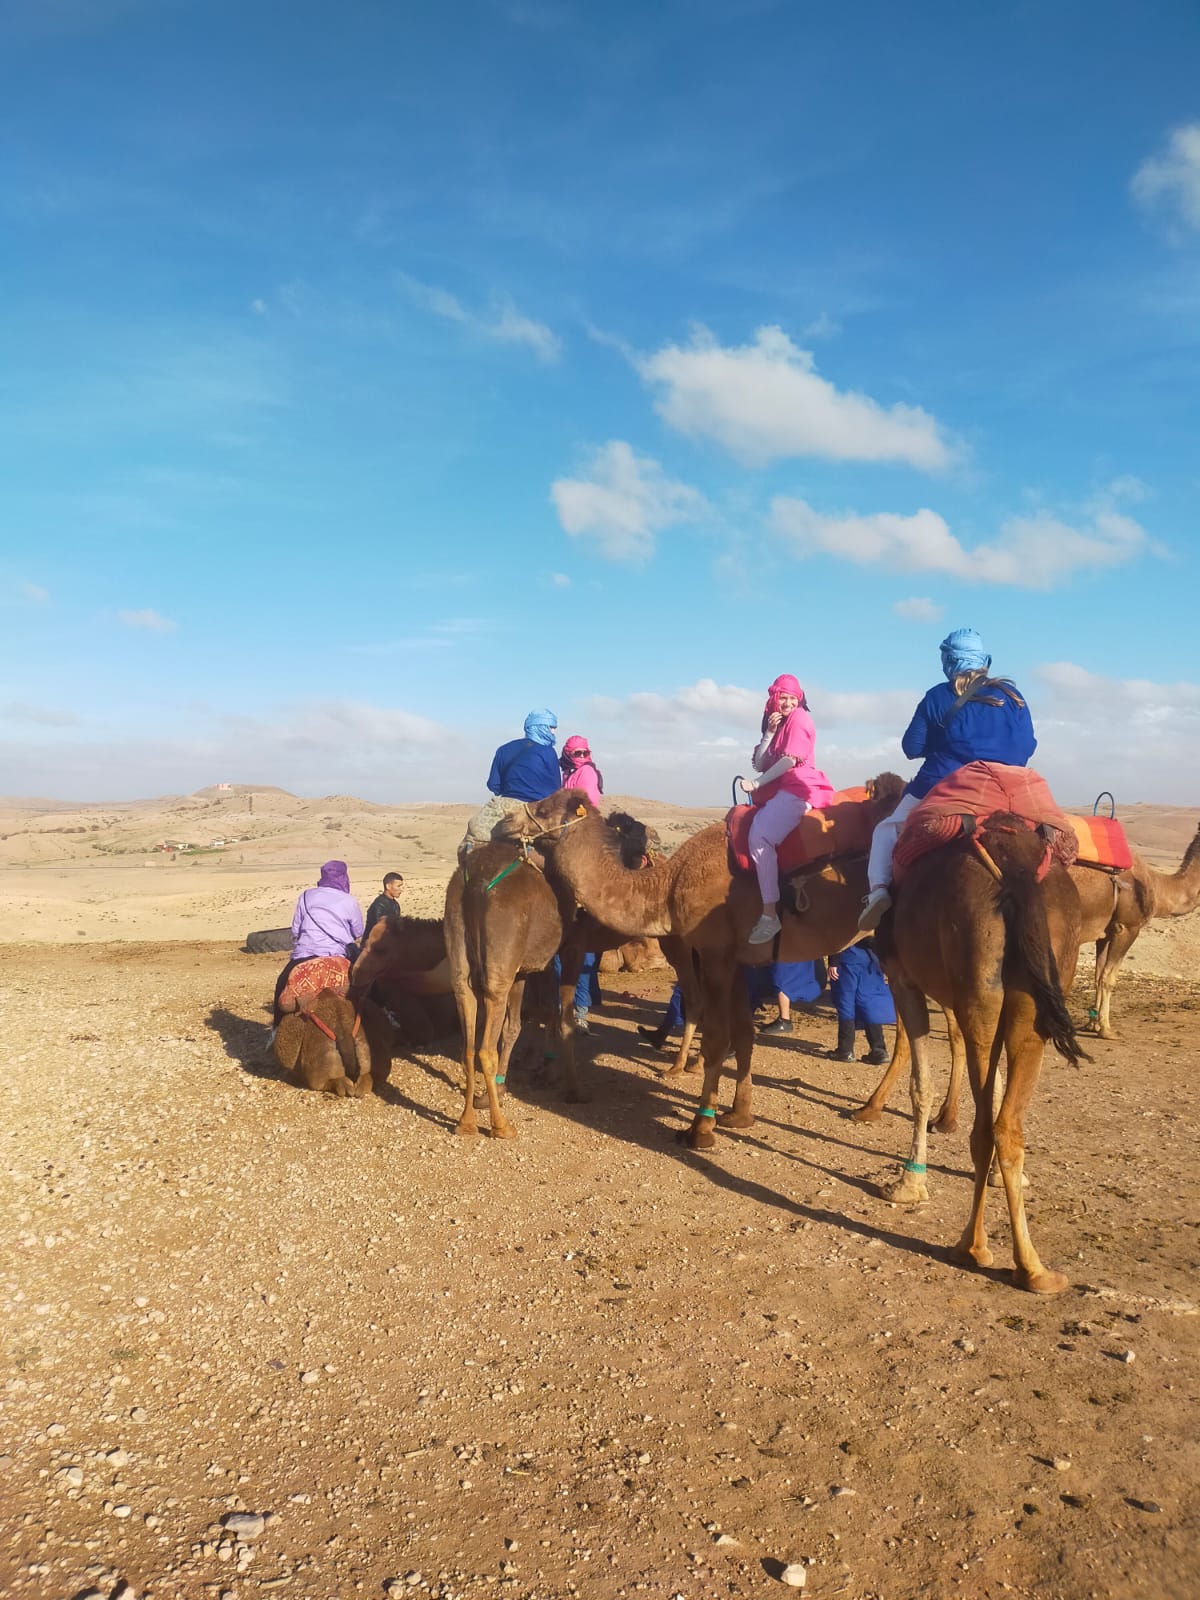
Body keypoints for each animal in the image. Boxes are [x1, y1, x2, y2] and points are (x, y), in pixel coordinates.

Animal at [495, 778, 906, 1150]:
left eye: (546, 807)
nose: (504, 822)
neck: (669, 882)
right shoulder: (736, 958)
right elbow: (743, 1034)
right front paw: (739, 1115)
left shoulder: (714, 952)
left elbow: (717, 1038)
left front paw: (700, 1128)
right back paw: (875, 1109)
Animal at [877, 814, 1086, 1294]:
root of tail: (1017, 870)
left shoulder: (903, 979)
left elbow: (921, 1084)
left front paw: (909, 1182)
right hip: (1031, 994)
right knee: (1006, 1126)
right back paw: (1033, 1268)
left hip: (977, 977)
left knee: (985, 1130)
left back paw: (971, 1246)